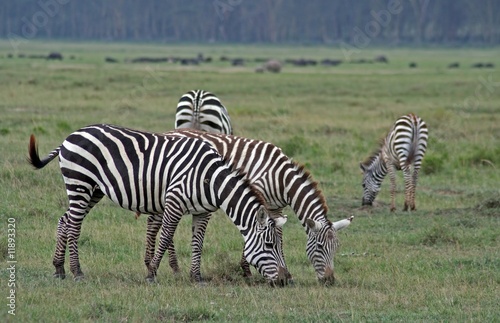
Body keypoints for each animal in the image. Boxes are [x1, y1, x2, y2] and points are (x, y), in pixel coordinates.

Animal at [28, 124, 290, 286]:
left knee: (65, 220)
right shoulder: (174, 200)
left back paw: (59, 268)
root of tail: (70, 136)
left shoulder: (202, 211)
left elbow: (198, 243)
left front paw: (196, 277)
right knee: (74, 226)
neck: (210, 179)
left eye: (279, 245)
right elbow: (165, 237)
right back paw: (77, 272)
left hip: (94, 189)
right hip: (79, 182)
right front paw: (152, 274)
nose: (286, 280)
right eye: (270, 244)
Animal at [144, 129, 356, 284]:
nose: (329, 280)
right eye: (319, 247)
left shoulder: (275, 207)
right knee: (156, 223)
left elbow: (278, 237)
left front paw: (284, 271)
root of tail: (171, 131)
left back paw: (158, 264)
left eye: (336, 248)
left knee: (156, 221)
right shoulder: (260, 200)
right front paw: (246, 269)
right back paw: (165, 266)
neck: (280, 178)